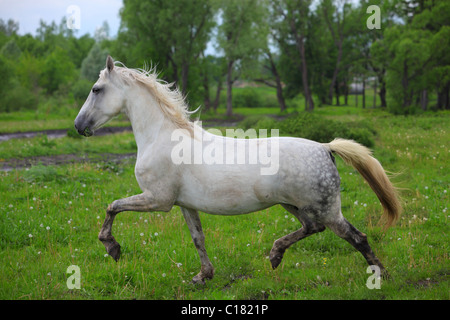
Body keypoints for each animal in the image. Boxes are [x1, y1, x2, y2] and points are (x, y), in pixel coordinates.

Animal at [74, 56, 400, 284]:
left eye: (96, 89)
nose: (79, 126)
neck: (161, 136)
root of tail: (325, 148)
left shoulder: (157, 200)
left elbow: (112, 206)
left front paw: (112, 248)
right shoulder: (184, 204)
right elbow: (198, 239)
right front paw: (203, 276)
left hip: (327, 209)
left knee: (356, 237)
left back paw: (380, 275)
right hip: (296, 205)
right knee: (312, 228)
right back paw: (276, 255)